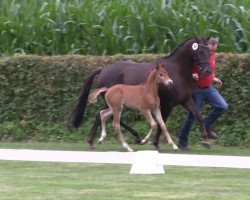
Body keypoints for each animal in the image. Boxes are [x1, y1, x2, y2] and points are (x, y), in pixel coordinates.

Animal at [68, 36, 211, 149]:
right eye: (200, 51)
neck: (176, 71)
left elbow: (198, 115)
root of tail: (103, 70)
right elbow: (161, 123)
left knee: (104, 116)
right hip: (113, 103)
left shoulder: (185, 100)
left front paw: (206, 140)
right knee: (104, 116)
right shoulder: (167, 105)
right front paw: (156, 143)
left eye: (209, 51)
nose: (208, 71)